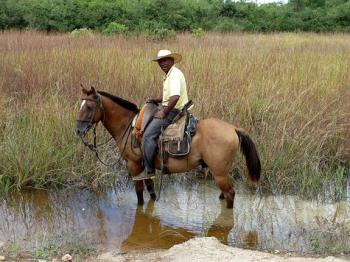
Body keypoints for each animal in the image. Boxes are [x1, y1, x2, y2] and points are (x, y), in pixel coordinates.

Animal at [75, 87, 262, 210]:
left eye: (89, 107)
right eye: (81, 105)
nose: (78, 130)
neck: (129, 126)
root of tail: (234, 128)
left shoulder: (134, 165)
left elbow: (139, 193)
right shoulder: (145, 166)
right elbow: (150, 189)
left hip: (219, 172)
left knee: (230, 194)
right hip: (221, 172)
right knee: (224, 195)